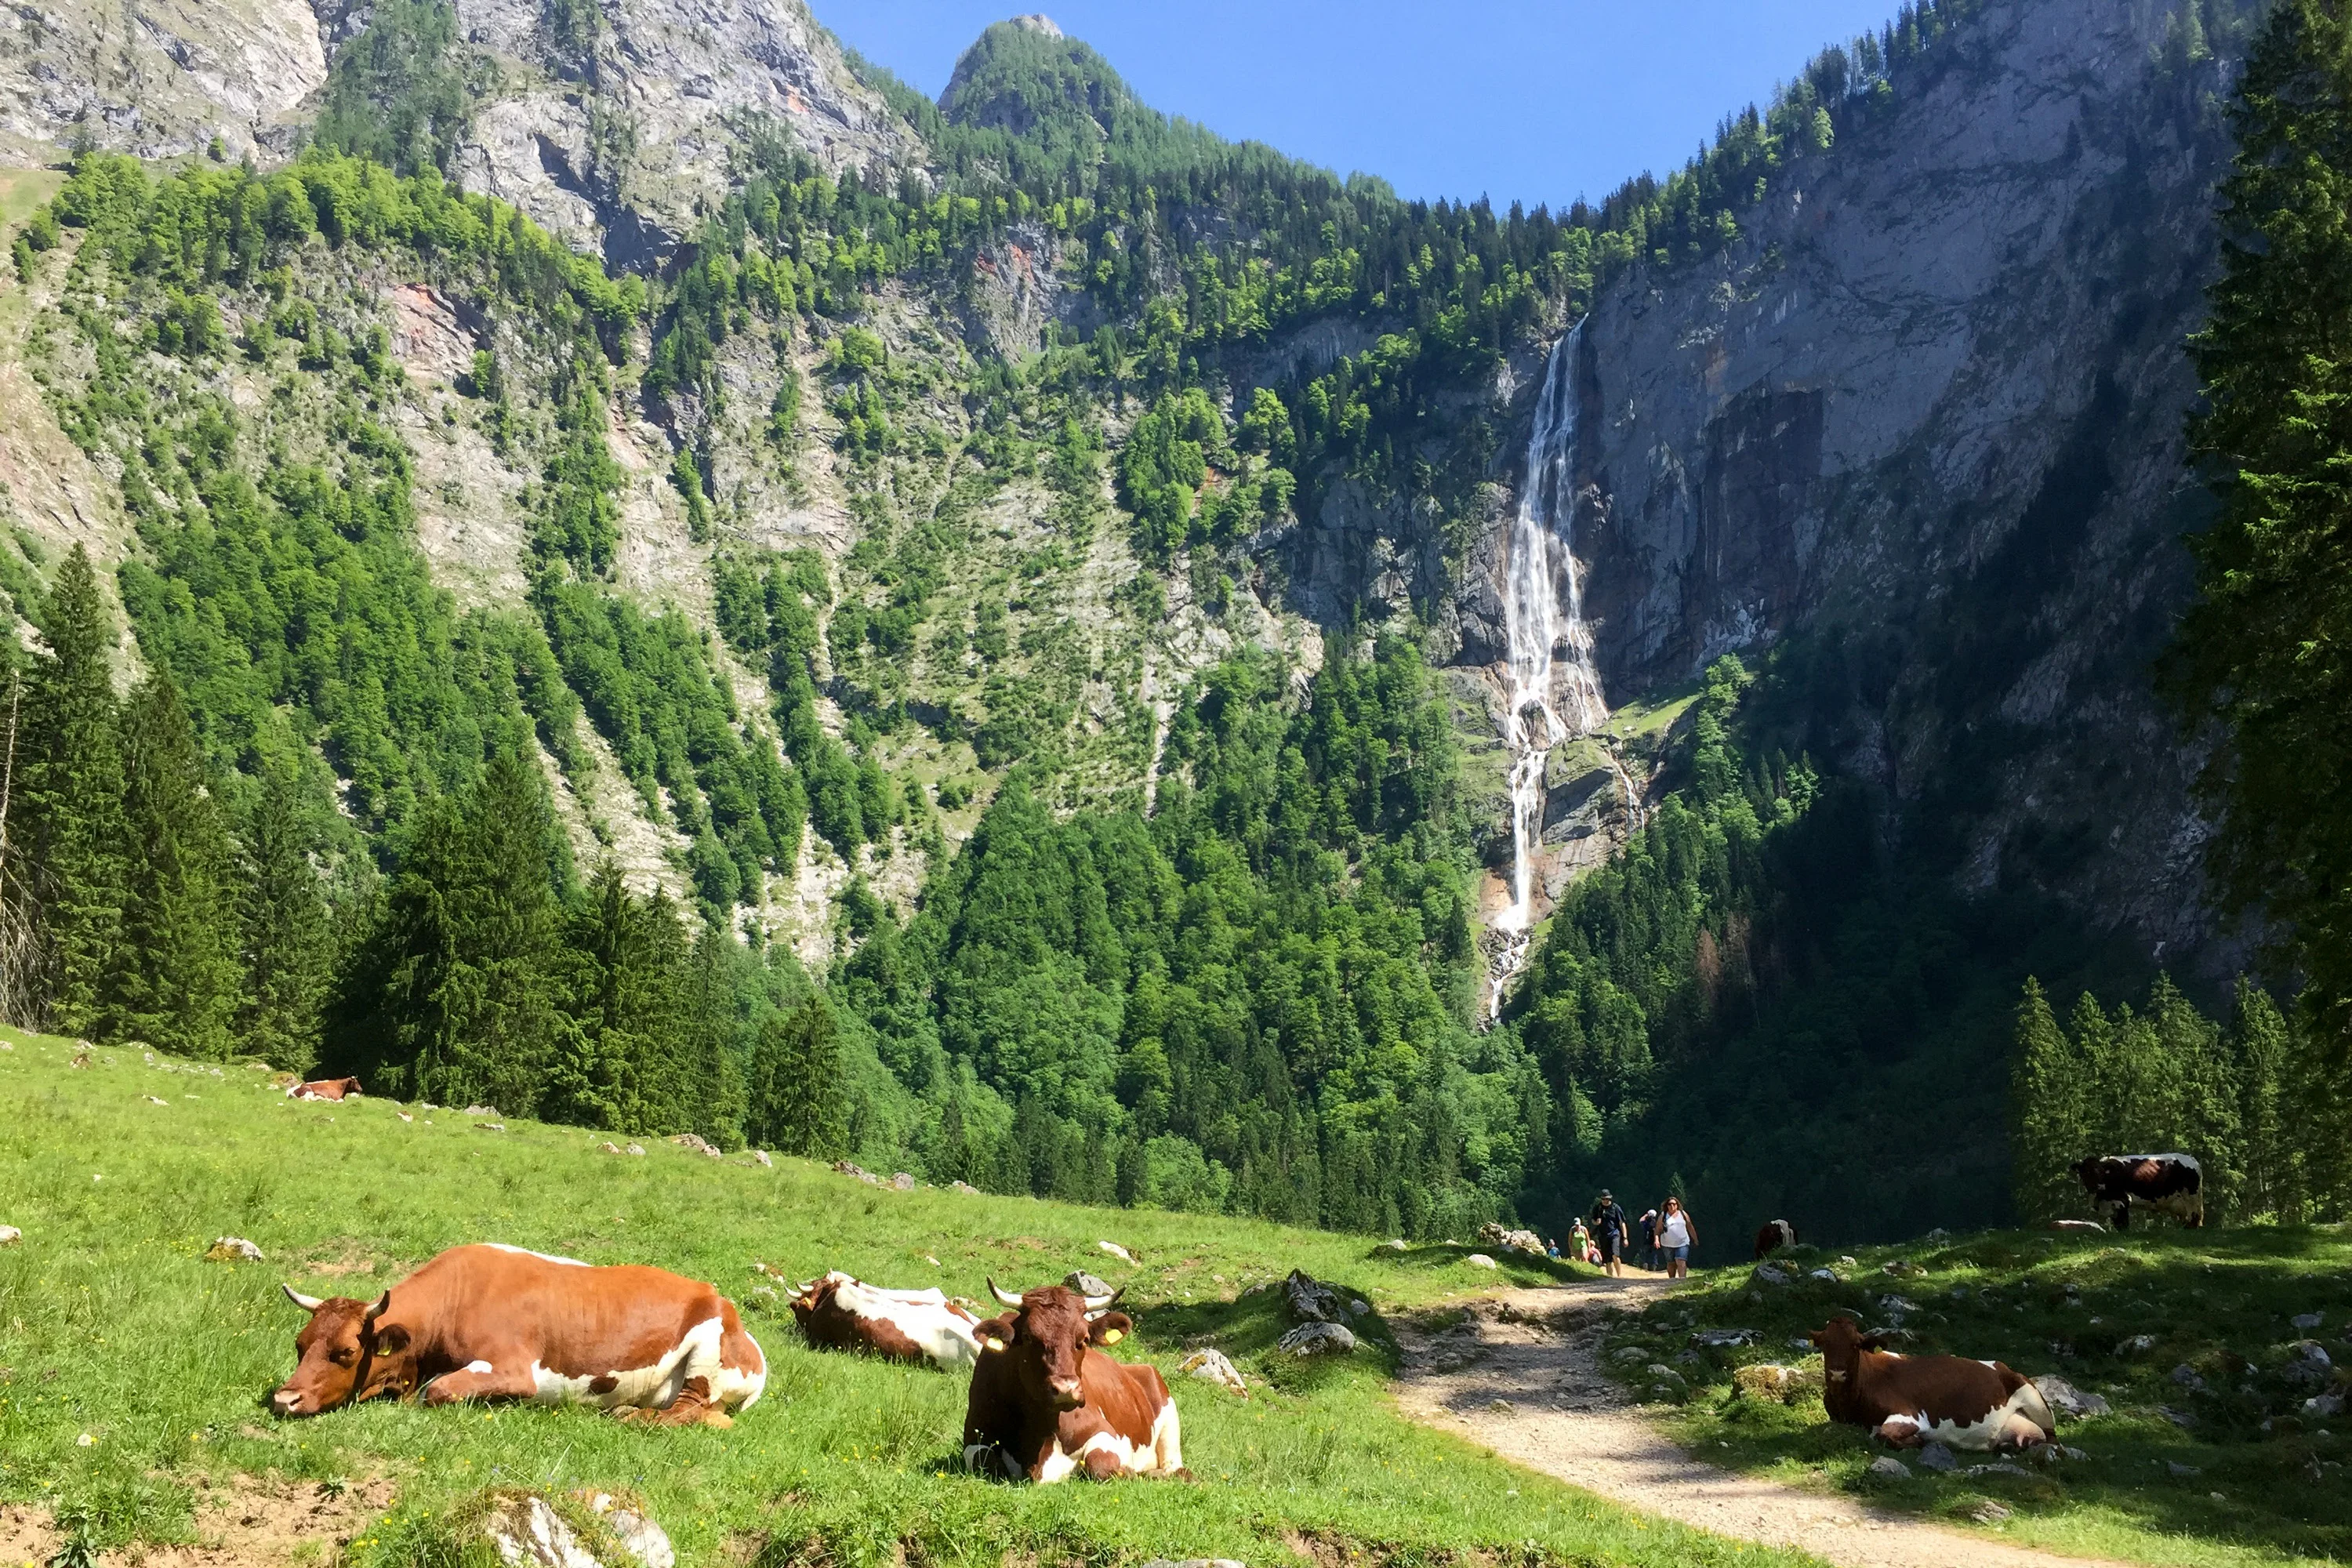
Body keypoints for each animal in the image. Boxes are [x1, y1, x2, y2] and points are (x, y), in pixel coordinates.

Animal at [273, 1243, 765, 1427]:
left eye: (346, 1351)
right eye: (300, 1344)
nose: (283, 1399)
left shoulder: (514, 1368)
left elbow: (437, 1391)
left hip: (708, 1351)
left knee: (691, 1414)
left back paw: (629, 1414)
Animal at [962, 1279, 1183, 1483]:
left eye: (1084, 1339)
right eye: (1029, 1337)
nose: (1066, 1389)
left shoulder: (1104, 1431)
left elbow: (1100, 1462)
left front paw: (1129, 1471)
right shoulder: (974, 1435)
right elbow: (985, 1460)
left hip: (1170, 1421)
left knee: (1174, 1467)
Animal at [1809, 1317, 2054, 1451]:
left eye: (1855, 1345)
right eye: (1825, 1344)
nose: (1837, 1372)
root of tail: (2004, 1366)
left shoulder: (1911, 1416)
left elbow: (1885, 1435)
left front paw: (1918, 1441)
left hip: (2035, 1400)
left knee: (2053, 1441)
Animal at [2073, 1154, 2203, 1230]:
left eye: (2101, 1172)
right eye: (2086, 1172)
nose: (2099, 1186)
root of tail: (2192, 1159)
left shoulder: (2123, 1201)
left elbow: (2123, 1223)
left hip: (2191, 1197)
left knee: (2193, 1217)